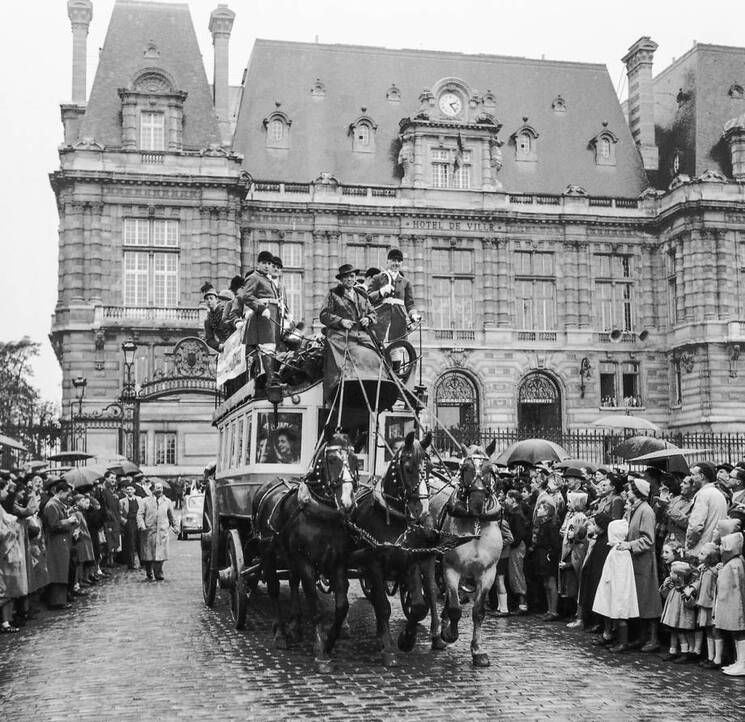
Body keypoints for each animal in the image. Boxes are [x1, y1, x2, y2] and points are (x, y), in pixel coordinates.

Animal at [254, 430, 358, 672]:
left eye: (355, 460)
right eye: (332, 460)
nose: (347, 503)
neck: (321, 514)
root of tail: (269, 485)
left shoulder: (338, 562)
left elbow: (342, 606)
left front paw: (330, 640)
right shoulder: (306, 562)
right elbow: (316, 607)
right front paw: (320, 651)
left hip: (289, 556)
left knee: (292, 581)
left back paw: (295, 625)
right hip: (268, 552)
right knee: (274, 588)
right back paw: (281, 633)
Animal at [350, 428, 438, 664]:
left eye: (431, 469)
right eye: (407, 467)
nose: (421, 510)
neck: (395, 519)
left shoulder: (412, 560)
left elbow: (418, 606)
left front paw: (406, 639)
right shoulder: (373, 563)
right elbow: (383, 607)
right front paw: (389, 648)